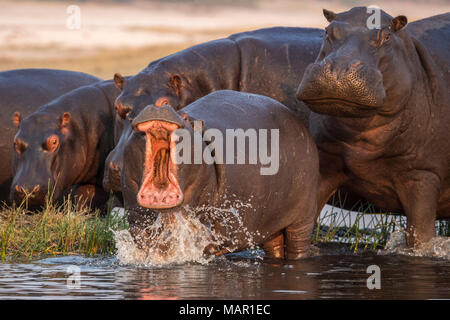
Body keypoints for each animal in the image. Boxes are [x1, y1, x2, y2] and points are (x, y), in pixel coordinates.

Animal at [121, 89, 318, 258]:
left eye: (185, 117)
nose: (160, 104)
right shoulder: (137, 223)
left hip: (303, 218)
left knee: (298, 244)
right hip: (270, 224)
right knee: (274, 246)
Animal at [296, 8, 450, 248]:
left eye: (386, 36)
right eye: (327, 31)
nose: (339, 69)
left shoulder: (422, 175)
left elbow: (421, 236)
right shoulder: (325, 164)